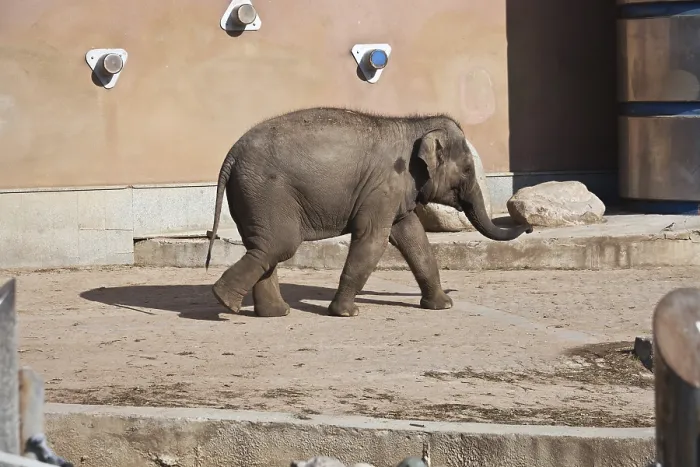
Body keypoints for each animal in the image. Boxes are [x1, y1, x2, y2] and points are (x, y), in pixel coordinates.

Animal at [206, 107, 532, 318]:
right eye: (466, 170)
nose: (528, 224)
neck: (413, 125)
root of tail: (231, 155)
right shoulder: (384, 186)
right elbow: (374, 239)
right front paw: (347, 313)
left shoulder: (397, 191)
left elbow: (413, 236)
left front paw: (442, 306)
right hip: (267, 192)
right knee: (278, 246)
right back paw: (224, 303)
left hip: (251, 195)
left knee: (263, 246)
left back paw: (273, 313)